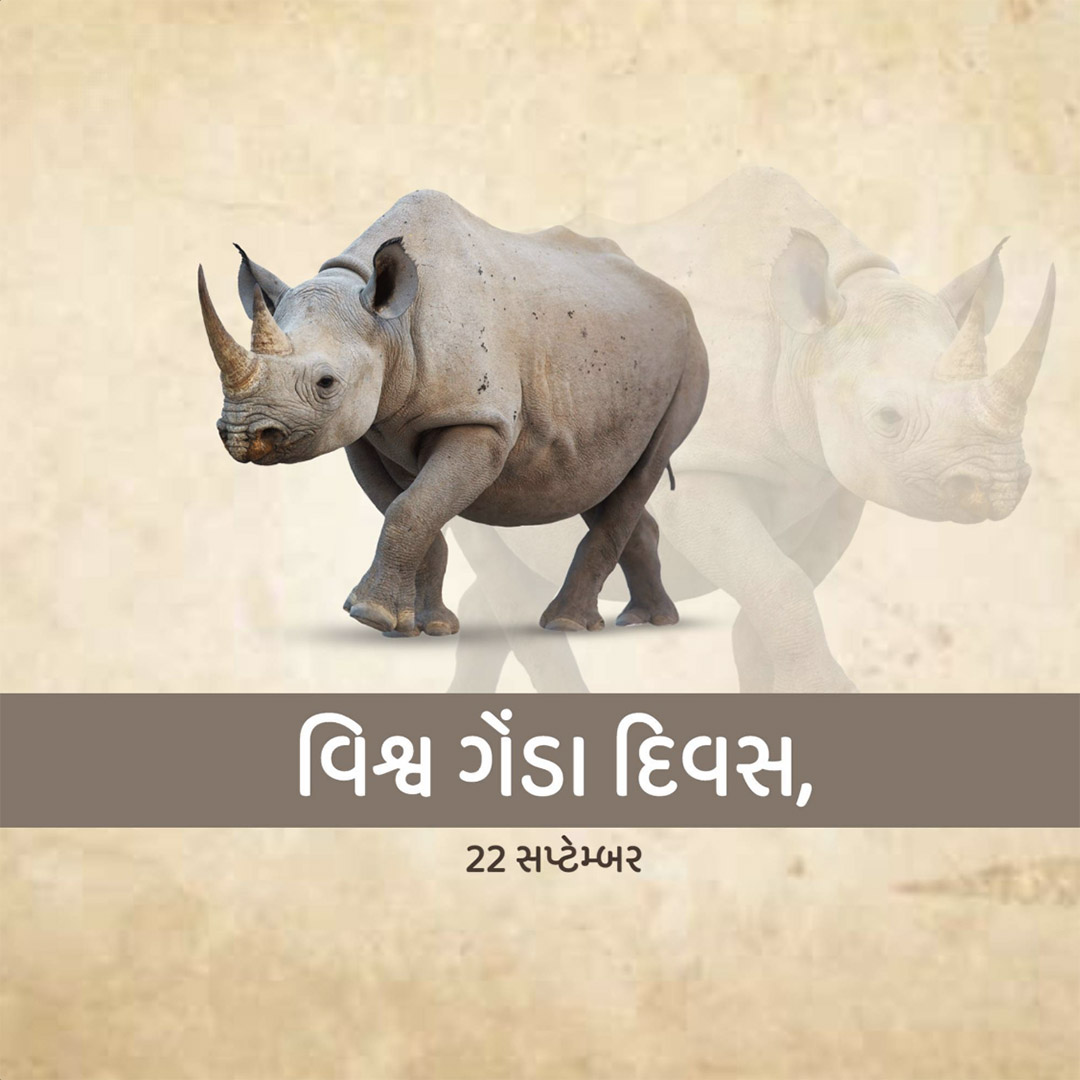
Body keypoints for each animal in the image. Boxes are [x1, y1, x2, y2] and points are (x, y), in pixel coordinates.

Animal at [198, 190, 709, 637]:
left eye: (326, 383)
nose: (242, 434)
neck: (390, 325)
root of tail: (673, 294)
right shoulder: (365, 430)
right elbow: (411, 509)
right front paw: (423, 626)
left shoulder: (481, 420)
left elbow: (410, 508)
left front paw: (369, 615)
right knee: (599, 479)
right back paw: (646, 620)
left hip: (689, 358)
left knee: (644, 468)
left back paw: (566, 623)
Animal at [446, 167, 1057, 692]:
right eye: (888, 419)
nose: (998, 485)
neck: (804, 339)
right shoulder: (702, 469)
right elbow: (781, 583)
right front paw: (829, 692)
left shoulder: (833, 481)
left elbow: (782, 588)